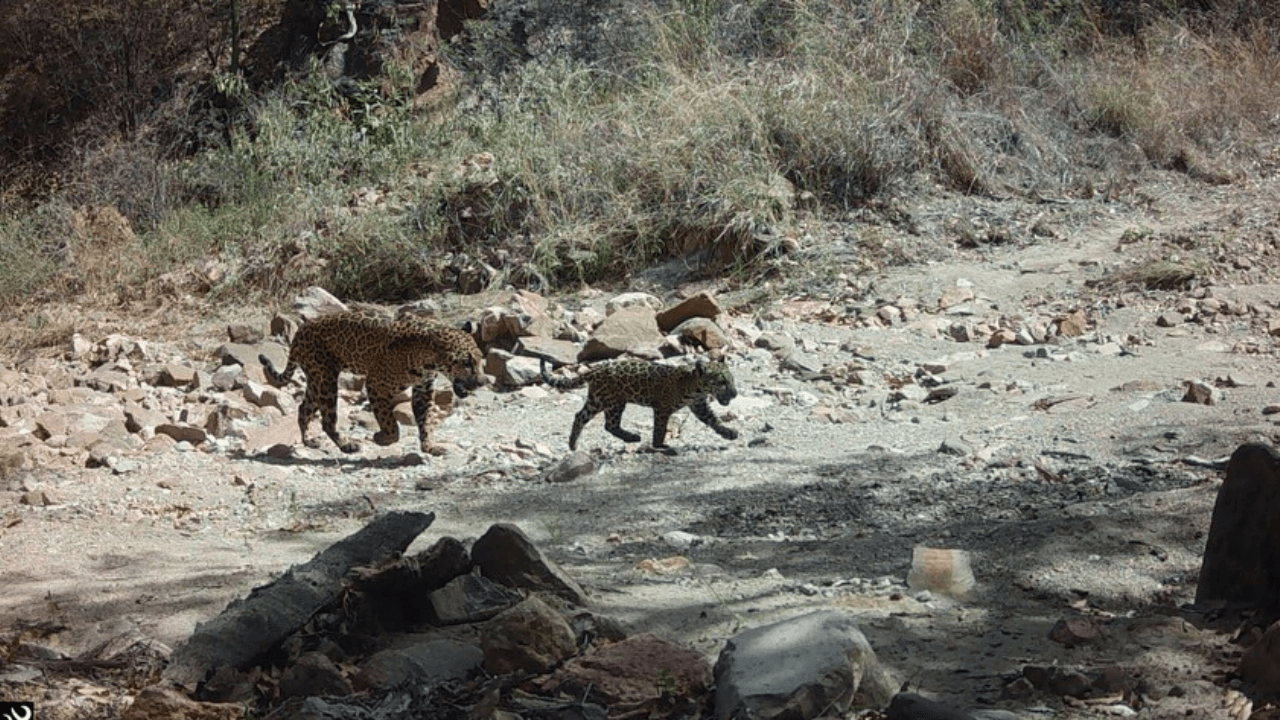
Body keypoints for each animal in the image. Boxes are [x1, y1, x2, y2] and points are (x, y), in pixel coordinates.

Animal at [259, 310, 487, 455]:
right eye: (466, 363)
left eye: (479, 359)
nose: (483, 381)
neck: (429, 359)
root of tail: (300, 331)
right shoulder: (376, 385)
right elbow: (390, 424)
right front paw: (381, 438)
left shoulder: (423, 390)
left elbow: (426, 420)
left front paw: (430, 447)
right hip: (326, 380)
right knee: (327, 420)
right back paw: (346, 446)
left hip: (317, 380)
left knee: (303, 408)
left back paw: (309, 440)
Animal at [539, 357, 739, 450]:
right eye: (721, 382)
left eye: (731, 379)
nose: (735, 394)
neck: (695, 387)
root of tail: (595, 369)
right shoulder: (662, 408)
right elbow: (660, 427)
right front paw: (660, 445)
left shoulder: (699, 405)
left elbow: (714, 420)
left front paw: (728, 433)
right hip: (614, 402)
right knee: (610, 425)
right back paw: (632, 437)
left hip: (597, 400)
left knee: (580, 416)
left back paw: (573, 444)